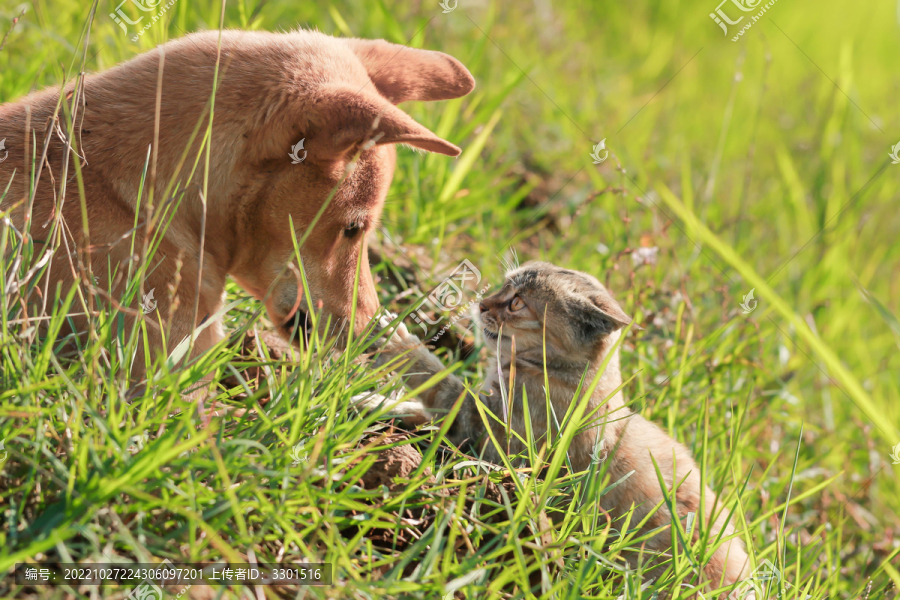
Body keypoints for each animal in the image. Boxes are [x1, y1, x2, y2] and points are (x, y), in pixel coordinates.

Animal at [374, 262, 752, 592]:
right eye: (504, 285)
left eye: (516, 302)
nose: (480, 304)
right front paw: (382, 402)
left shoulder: (487, 430)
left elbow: (438, 382)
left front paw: (396, 343)